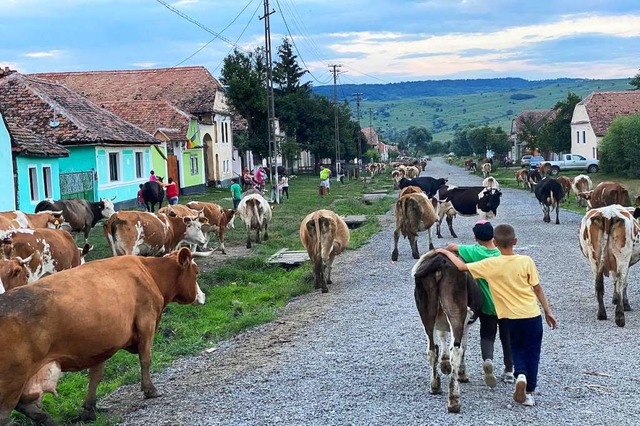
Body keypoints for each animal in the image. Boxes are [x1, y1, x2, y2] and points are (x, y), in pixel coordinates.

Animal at [0, 246, 205, 422]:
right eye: (196, 272)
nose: (202, 297)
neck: (150, 273)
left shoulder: (100, 344)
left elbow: (96, 376)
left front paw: (89, 409)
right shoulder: (147, 322)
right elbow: (146, 359)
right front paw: (150, 390)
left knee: (24, 405)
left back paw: (46, 419)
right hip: (12, 380)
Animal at [412, 253, 482, 412]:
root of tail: (440, 260)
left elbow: (442, 337)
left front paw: (444, 364)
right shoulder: (466, 323)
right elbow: (463, 346)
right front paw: (462, 373)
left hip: (426, 313)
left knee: (432, 349)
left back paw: (435, 386)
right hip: (456, 312)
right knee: (456, 350)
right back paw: (454, 400)